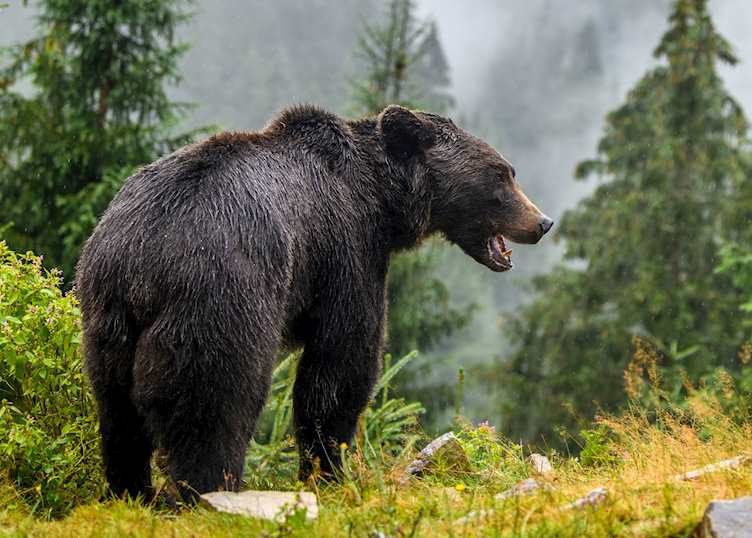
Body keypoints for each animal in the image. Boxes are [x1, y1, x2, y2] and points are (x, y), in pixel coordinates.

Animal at [75, 104, 552, 503]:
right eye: (501, 174)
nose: (542, 222)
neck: (383, 201)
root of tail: (143, 262)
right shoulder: (346, 252)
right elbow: (341, 363)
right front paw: (330, 470)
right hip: (220, 297)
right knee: (215, 402)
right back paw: (208, 491)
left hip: (107, 318)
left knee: (118, 413)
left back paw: (131, 491)